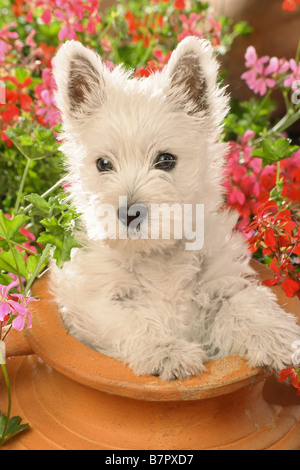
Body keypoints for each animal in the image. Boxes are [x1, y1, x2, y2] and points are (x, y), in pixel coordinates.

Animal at [51, 37, 300, 382]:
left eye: (166, 160)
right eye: (103, 163)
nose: (129, 214)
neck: (158, 256)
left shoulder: (224, 280)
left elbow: (244, 303)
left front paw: (274, 335)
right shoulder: (93, 300)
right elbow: (131, 320)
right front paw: (167, 352)